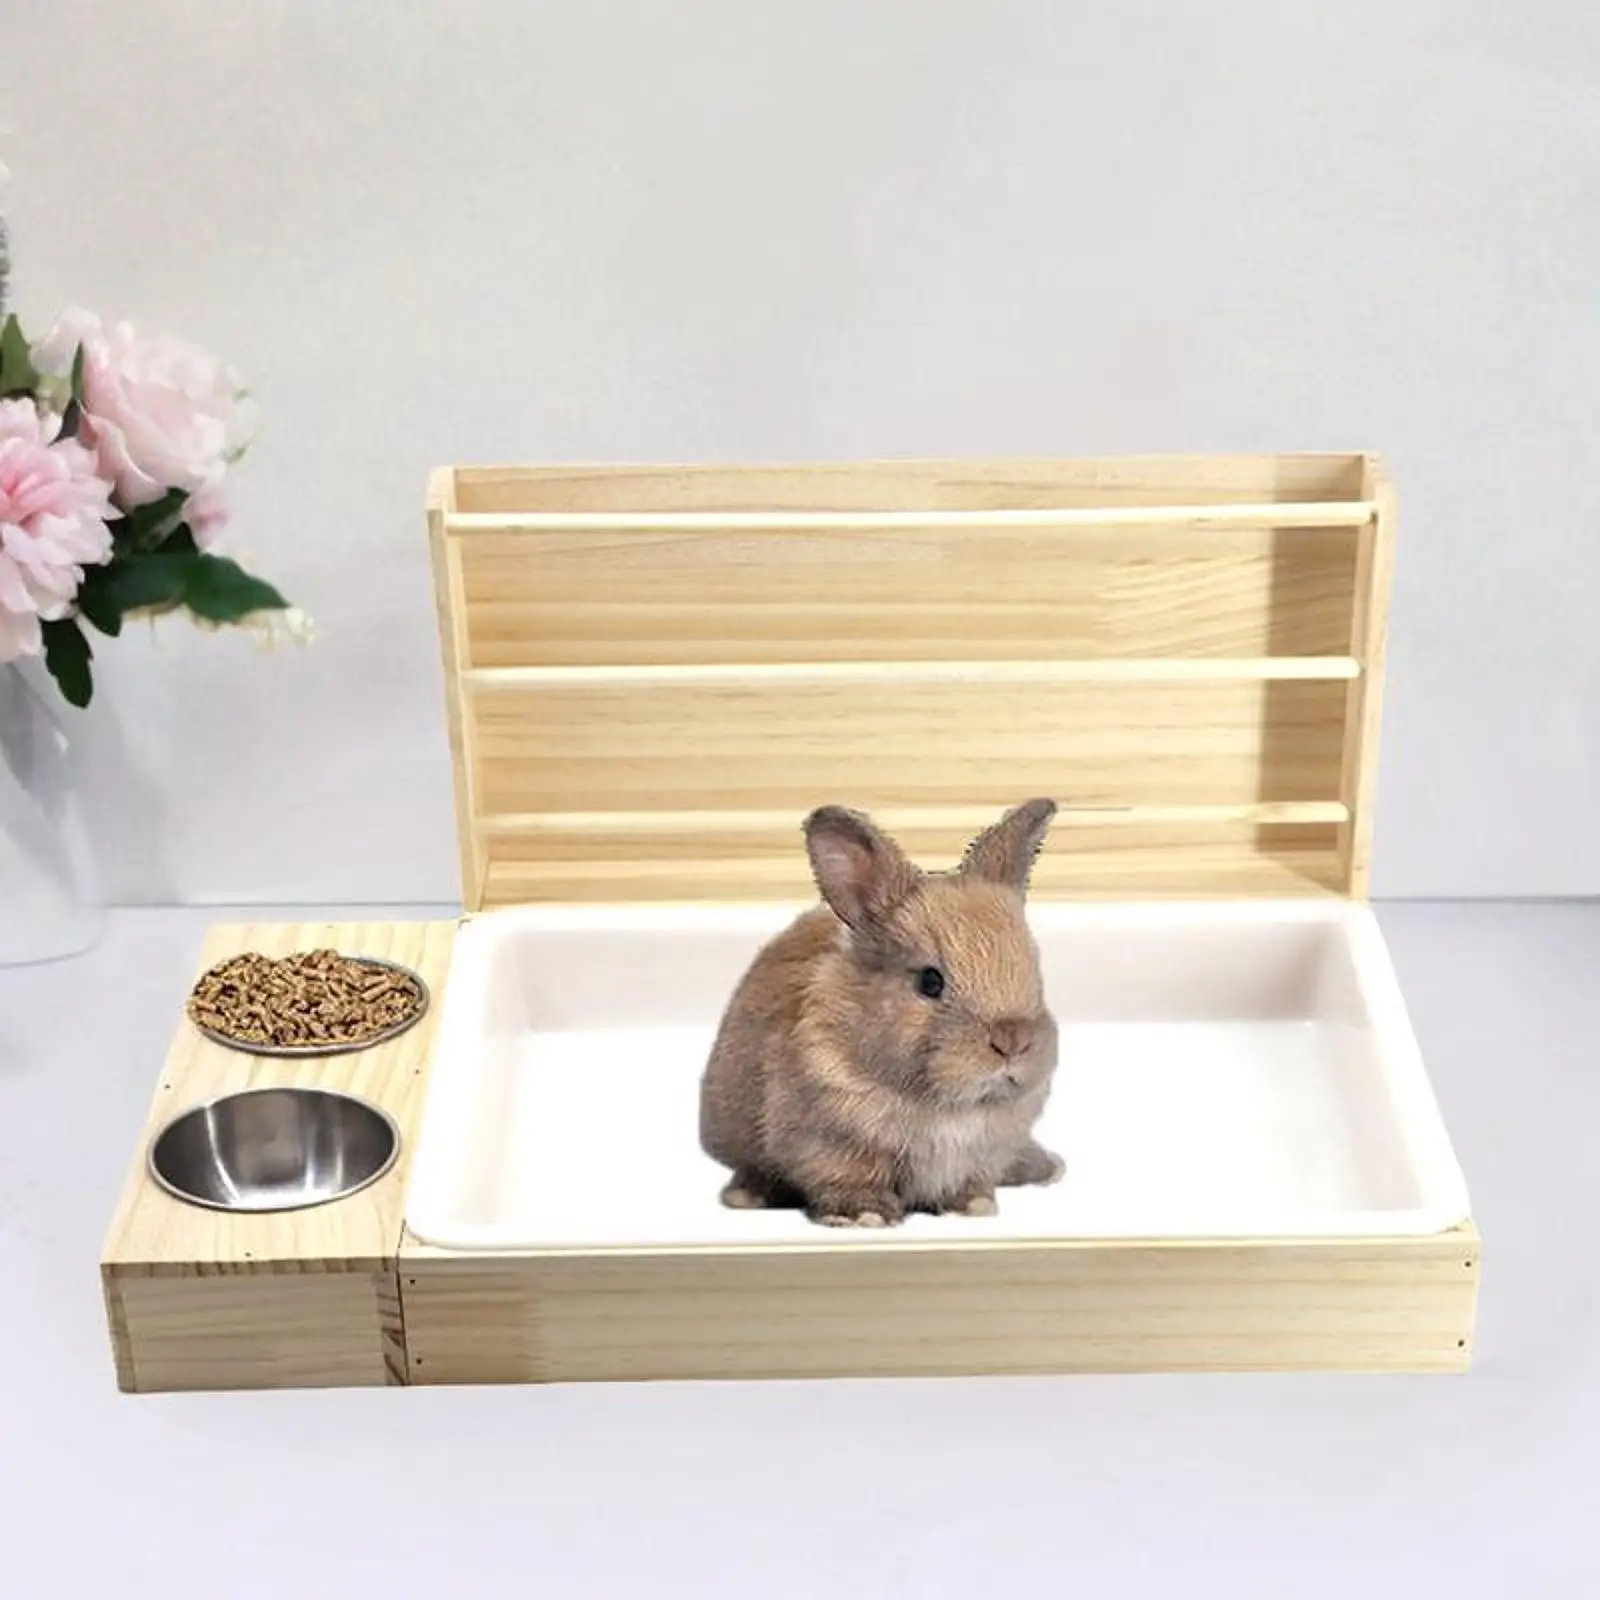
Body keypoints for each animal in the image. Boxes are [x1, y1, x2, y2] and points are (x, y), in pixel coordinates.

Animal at [699, 798, 1064, 1227]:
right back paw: (747, 1196)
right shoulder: (832, 1145)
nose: (1013, 1042)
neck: (948, 1107)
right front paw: (864, 1216)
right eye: (930, 981)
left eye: (1033, 966)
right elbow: (849, 1179)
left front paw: (973, 1206)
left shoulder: (981, 1157)